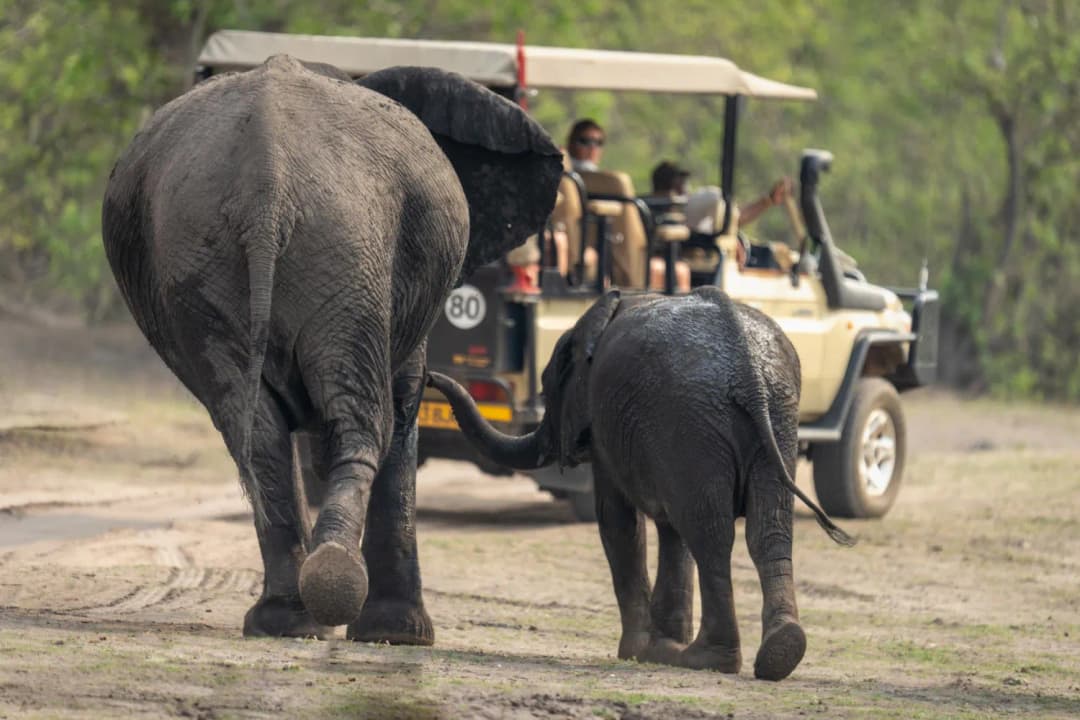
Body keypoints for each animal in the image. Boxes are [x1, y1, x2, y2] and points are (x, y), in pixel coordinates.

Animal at [102, 55, 562, 642]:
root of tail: (265, 178)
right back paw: (334, 586)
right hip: (345, 245)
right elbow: (404, 401)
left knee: (256, 432)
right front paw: (400, 634)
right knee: (363, 422)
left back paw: (285, 618)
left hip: (208, 258)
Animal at [428, 287, 854, 680]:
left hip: (696, 420)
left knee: (711, 536)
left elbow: (619, 522)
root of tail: (750, 372)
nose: (430, 376)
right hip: (772, 419)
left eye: (547, 389)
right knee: (766, 529)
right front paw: (660, 646)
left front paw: (636, 651)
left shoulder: (608, 428)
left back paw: (706, 658)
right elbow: (670, 530)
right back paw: (779, 652)